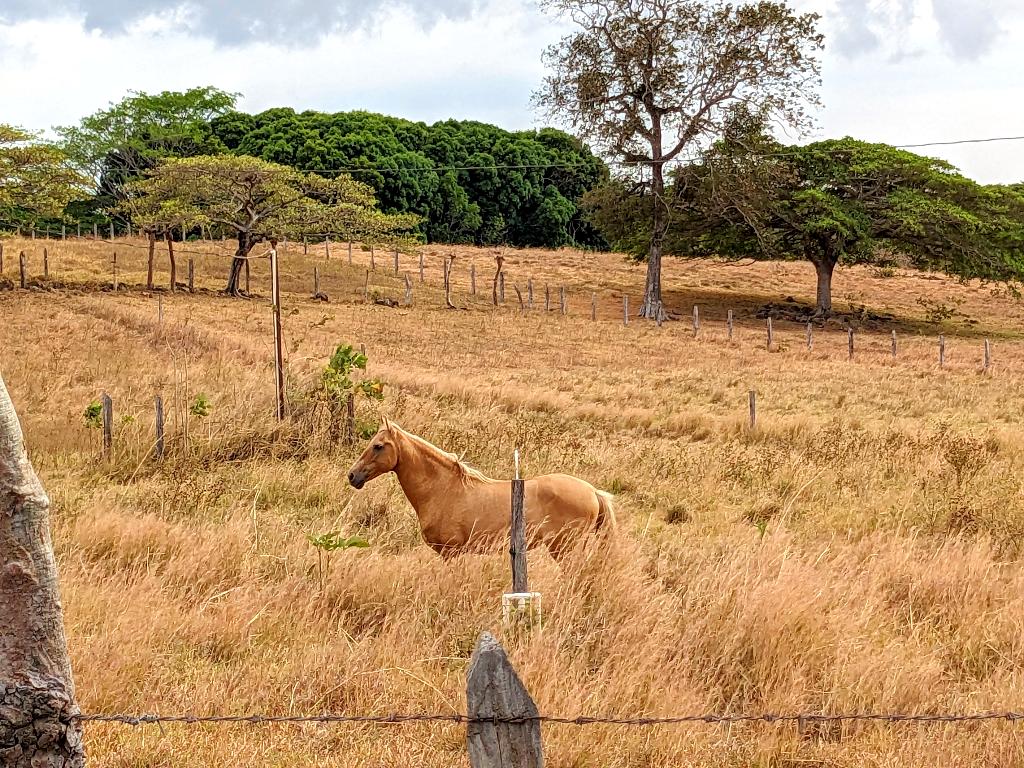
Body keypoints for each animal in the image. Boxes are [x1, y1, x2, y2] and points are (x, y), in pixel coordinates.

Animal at [348, 417, 610, 557]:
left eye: (378, 446)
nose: (352, 476)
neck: (443, 490)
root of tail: (592, 492)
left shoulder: (451, 553)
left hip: (564, 550)